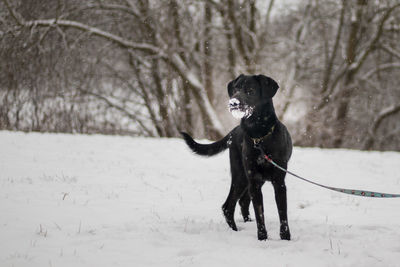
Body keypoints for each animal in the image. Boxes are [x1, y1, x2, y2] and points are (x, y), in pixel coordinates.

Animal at [180, 74, 290, 242]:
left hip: (248, 180)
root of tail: (235, 130)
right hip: (241, 176)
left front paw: (285, 238)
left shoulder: (279, 182)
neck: (259, 135)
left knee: (241, 202)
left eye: (250, 90)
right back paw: (235, 232)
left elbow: (282, 214)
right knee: (228, 206)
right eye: (235, 90)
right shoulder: (254, 181)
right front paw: (262, 239)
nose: (233, 102)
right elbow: (260, 213)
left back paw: (246, 223)